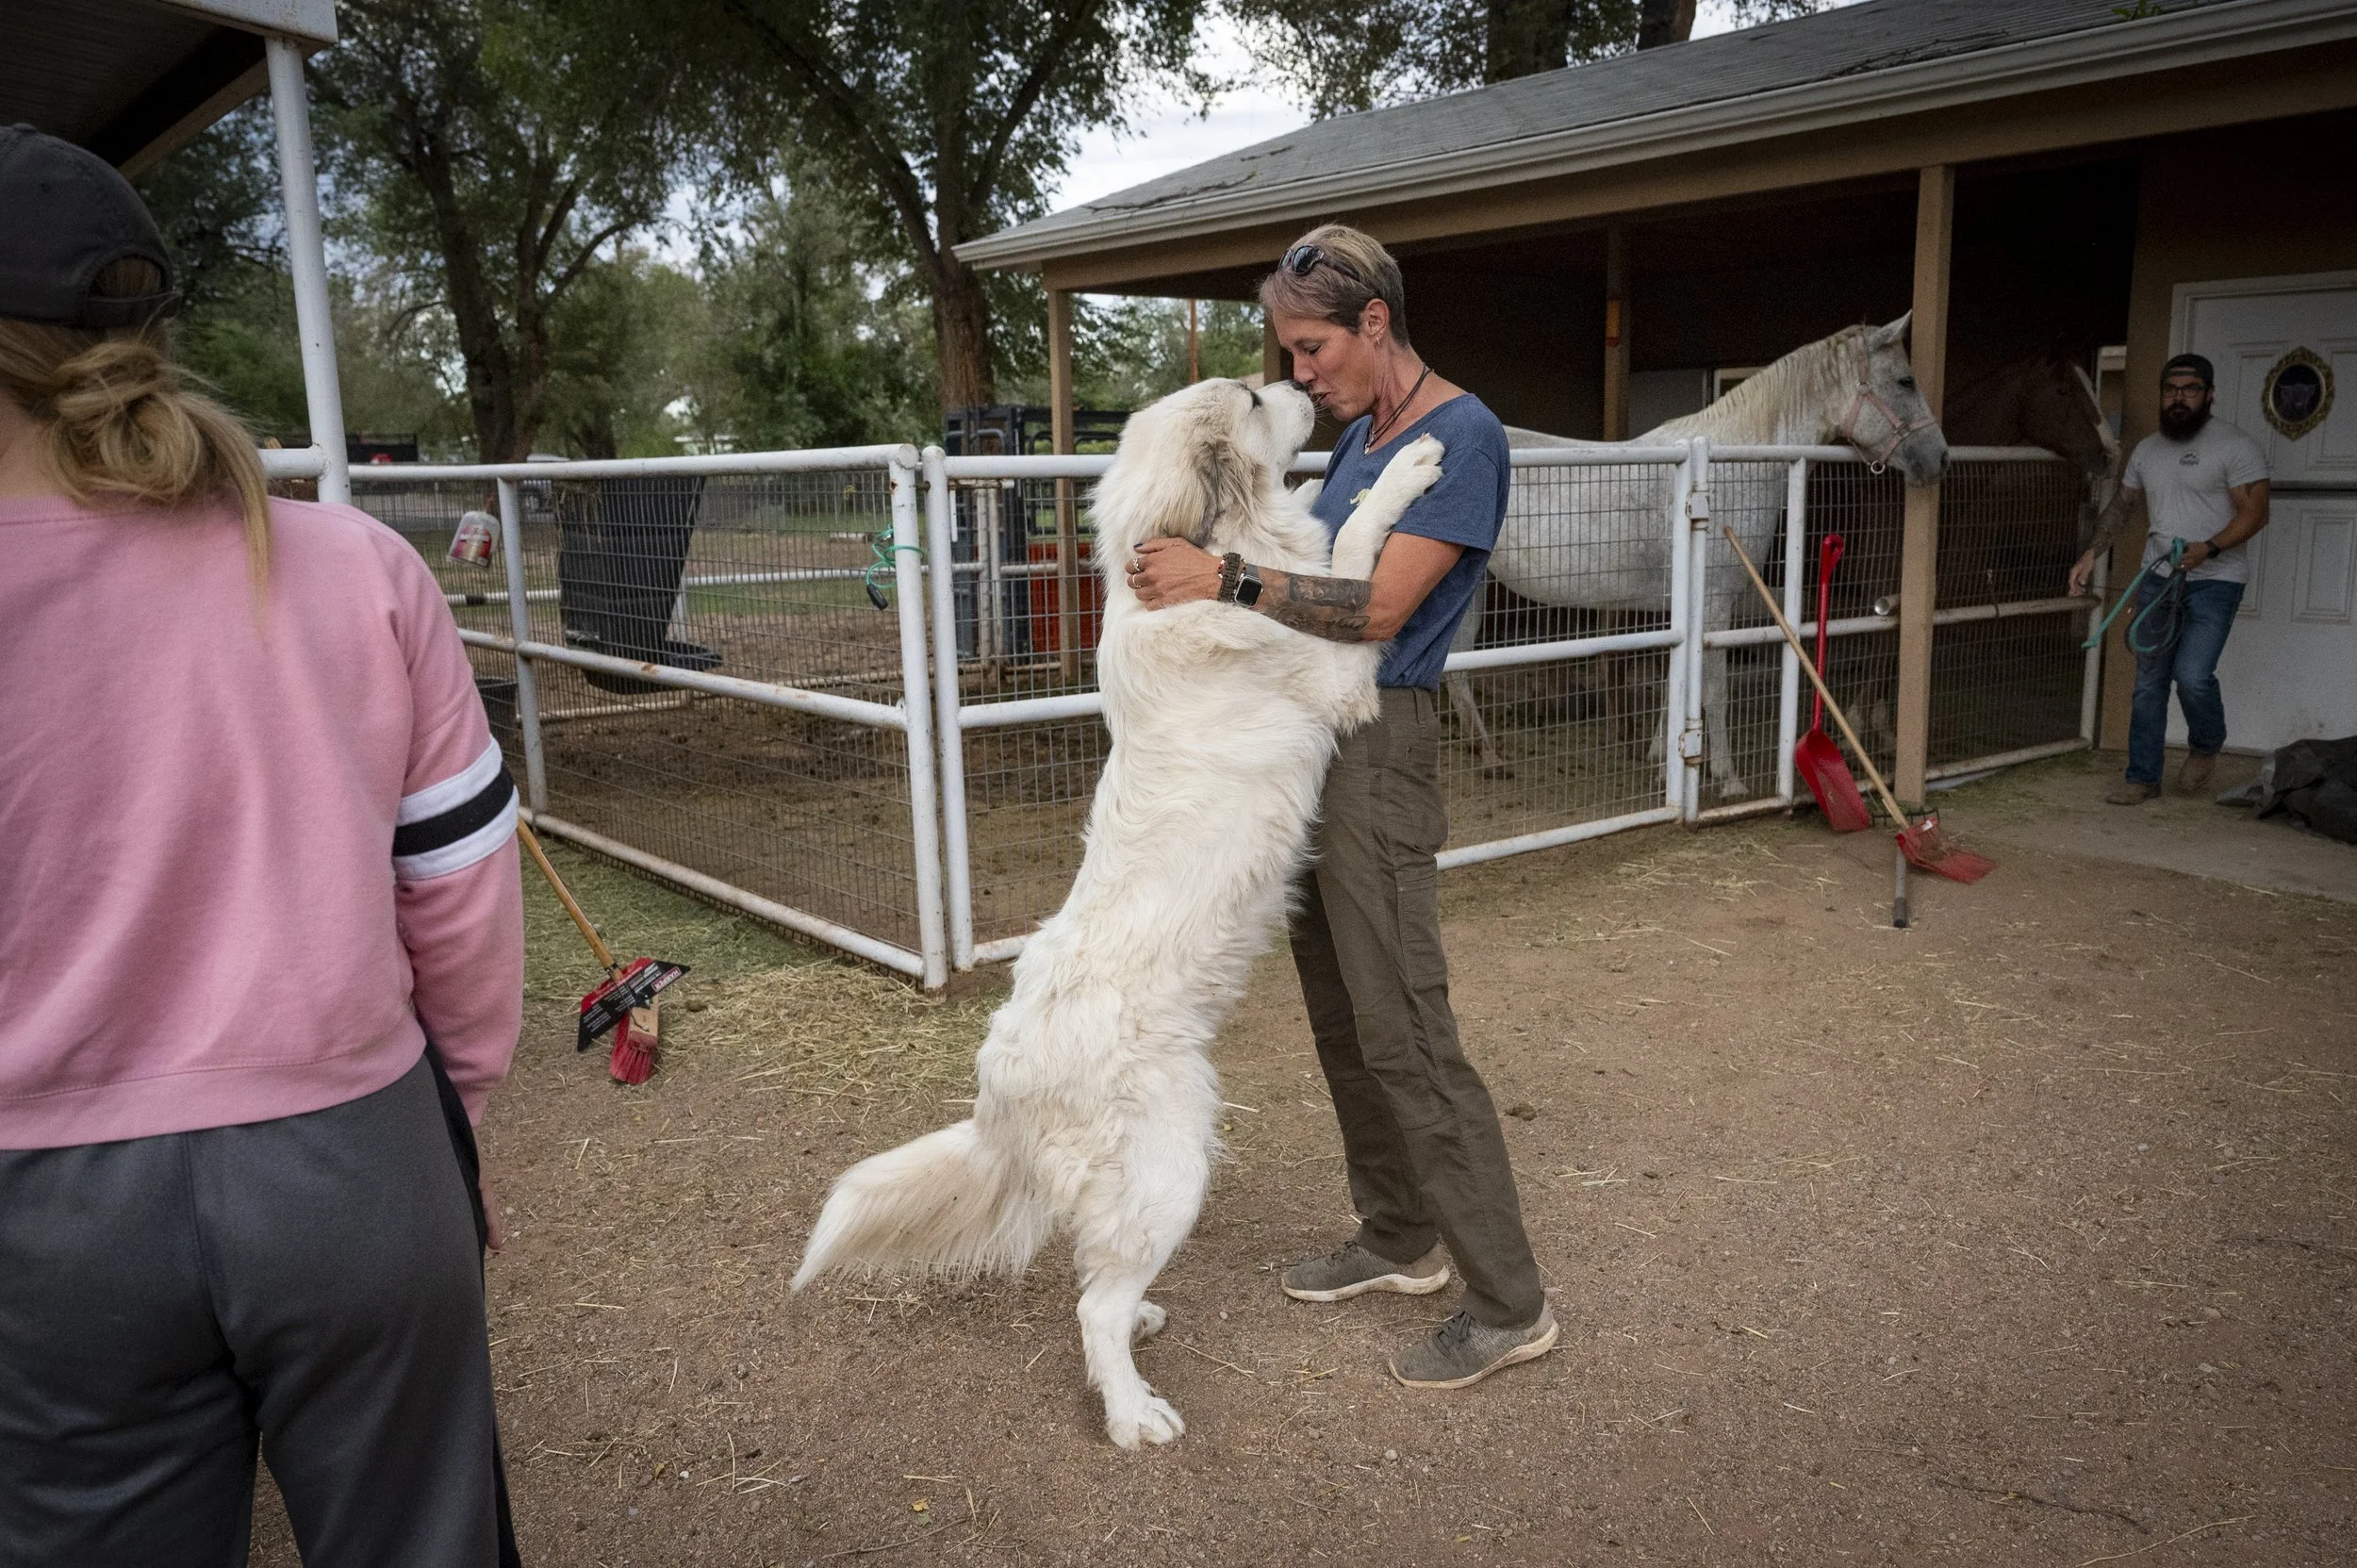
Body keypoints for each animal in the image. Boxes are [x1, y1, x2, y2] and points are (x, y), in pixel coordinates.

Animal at [1443, 315, 1946, 796]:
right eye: (1905, 381)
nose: (1939, 458)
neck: (1723, 469)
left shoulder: (1685, 608)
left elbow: (1675, 682)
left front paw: (1661, 765)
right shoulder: (1715, 605)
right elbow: (1714, 690)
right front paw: (1727, 778)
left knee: (1457, 666)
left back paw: (1487, 757)